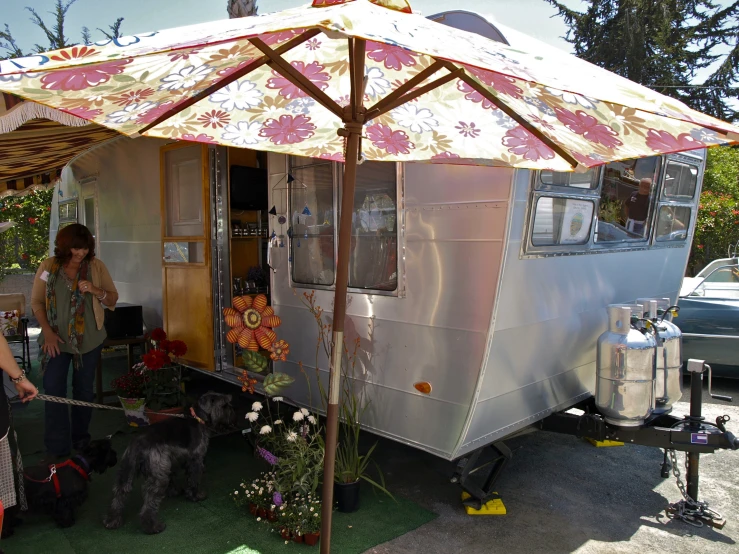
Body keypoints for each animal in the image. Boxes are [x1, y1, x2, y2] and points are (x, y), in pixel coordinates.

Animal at [102, 390, 233, 532]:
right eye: (224, 405)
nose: (232, 413)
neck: (198, 417)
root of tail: (139, 442)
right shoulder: (196, 461)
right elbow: (194, 480)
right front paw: (196, 496)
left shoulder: (170, 463)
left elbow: (173, 479)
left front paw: (174, 492)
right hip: (157, 479)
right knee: (149, 503)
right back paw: (153, 526)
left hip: (126, 472)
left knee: (119, 494)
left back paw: (112, 520)